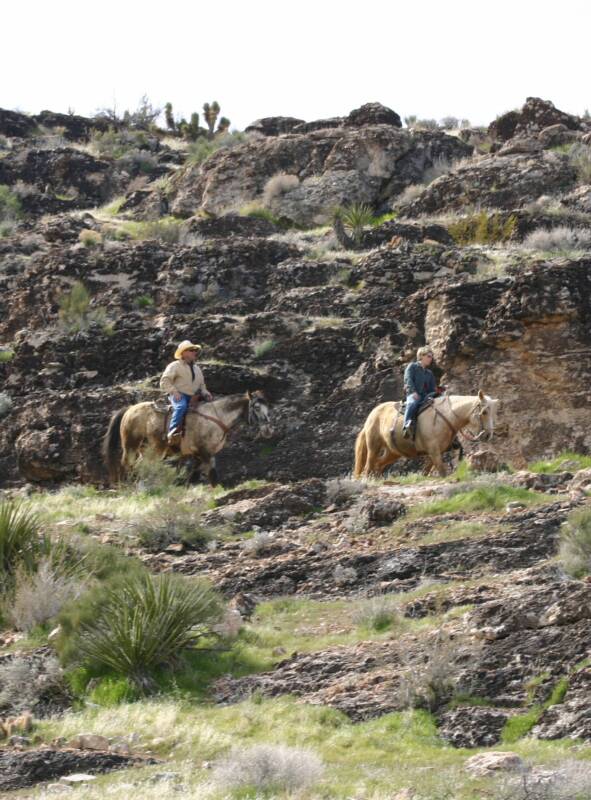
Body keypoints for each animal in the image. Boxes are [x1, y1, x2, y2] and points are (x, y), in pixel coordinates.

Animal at [103, 390, 270, 484]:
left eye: (268, 407)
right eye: (256, 407)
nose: (268, 430)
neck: (216, 417)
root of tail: (130, 409)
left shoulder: (198, 454)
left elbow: (195, 472)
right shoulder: (205, 451)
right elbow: (212, 473)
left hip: (150, 449)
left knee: (141, 465)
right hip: (131, 445)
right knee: (128, 464)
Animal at [356, 390, 500, 478]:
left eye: (494, 413)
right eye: (484, 412)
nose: (488, 435)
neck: (445, 416)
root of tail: (373, 413)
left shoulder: (435, 453)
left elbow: (427, 471)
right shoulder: (434, 451)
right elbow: (442, 472)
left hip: (393, 452)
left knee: (378, 464)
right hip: (373, 446)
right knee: (368, 466)